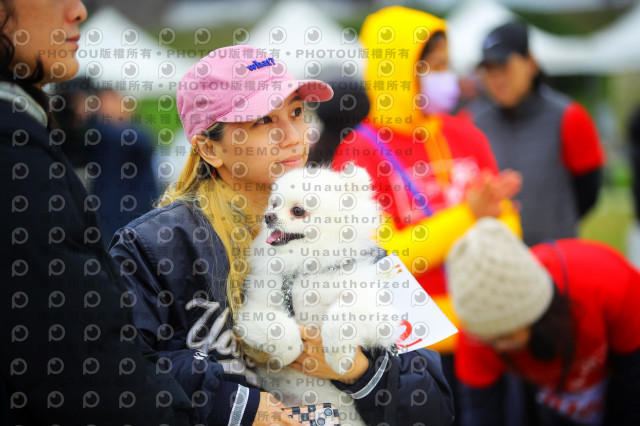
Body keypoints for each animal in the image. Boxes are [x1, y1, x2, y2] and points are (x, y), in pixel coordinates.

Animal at [235, 165, 397, 426]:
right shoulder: (256, 309)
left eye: (298, 211)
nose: (268, 216)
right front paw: (286, 354)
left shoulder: (375, 309)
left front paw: (339, 357)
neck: (307, 266)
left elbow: (342, 315)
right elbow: (283, 332)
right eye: (274, 204)